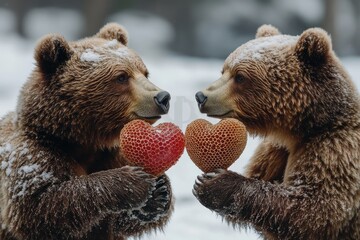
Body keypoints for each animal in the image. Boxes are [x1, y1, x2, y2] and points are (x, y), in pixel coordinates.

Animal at [0, 23, 174, 240]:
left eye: (145, 72)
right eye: (122, 77)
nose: (162, 97)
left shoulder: (112, 153)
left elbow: (116, 222)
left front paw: (159, 191)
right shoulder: (33, 155)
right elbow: (40, 206)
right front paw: (133, 181)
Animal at [193, 24, 360, 240]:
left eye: (240, 76)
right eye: (224, 70)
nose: (201, 96)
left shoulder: (335, 150)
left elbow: (315, 210)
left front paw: (214, 183)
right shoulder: (275, 150)